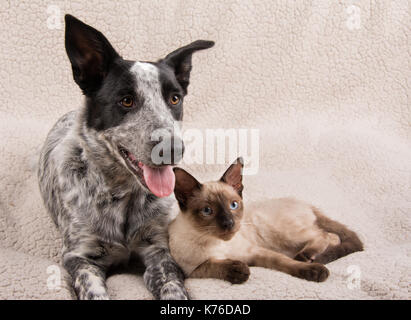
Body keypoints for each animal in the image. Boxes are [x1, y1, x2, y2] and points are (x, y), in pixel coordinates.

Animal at [37, 14, 216, 300]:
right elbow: (93, 289)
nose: (173, 149)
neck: (122, 196)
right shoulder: (79, 256)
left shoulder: (158, 248)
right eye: (127, 101)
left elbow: (172, 284)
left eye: (174, 99)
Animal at [167, 156, 364, 284]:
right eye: (207, 211)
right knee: (330, 236)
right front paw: (239, 270)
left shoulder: (256, 252)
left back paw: (309, 258)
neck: (217, 244)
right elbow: (212, 265)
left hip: (283, 234)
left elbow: (285, 263)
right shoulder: (190, 272)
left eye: (233, 205)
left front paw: (313, 272)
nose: (229, 223)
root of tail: (306, 203)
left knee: (325, 235)